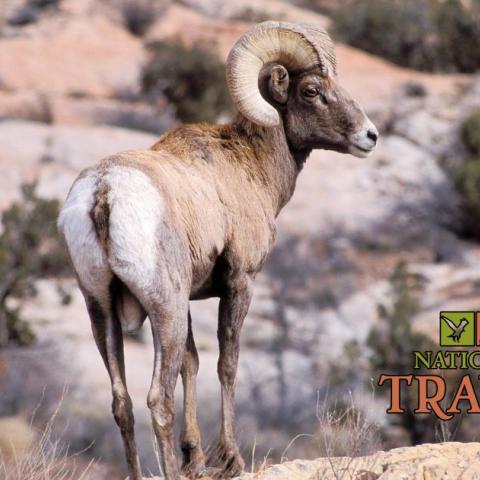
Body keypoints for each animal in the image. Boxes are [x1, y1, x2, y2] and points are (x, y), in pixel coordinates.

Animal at [57, 20, 378, 478]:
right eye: (312, 90)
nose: (369, 136)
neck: (249, 167)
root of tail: (104, 191)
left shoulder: (190, 298)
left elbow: (191, 364)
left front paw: (196, 458)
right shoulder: (239, 283)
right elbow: (227, 363)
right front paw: (231, 459)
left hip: (100, 310)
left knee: (122, 402)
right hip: (165, 308)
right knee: (158, 399)